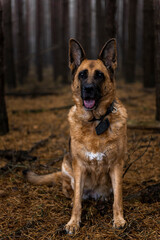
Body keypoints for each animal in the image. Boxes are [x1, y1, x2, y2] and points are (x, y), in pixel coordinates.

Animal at [24, 38, 127, 233]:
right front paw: (73, 222)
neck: (95, 121)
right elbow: (78, 201)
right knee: (72, 192)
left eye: (99, 75)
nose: (88, 89)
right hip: (66, 166)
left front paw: (119, 219)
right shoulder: (79, 167)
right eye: (82, 75)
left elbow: (118, 198)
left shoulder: (117, 165)